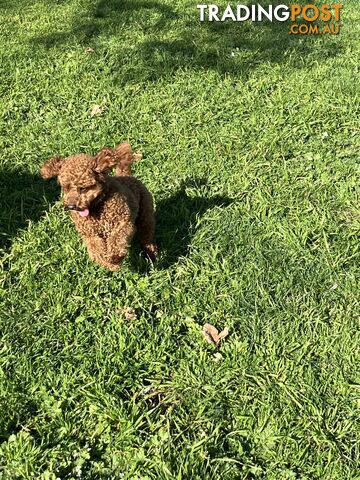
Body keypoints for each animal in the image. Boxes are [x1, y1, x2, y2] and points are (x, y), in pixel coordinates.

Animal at [40, 142, 157, 270]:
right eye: (65, 187)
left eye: (83, 188)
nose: (71, 206)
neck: (96, 208)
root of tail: (126, 174)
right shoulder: (91, 235)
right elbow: (96, 252)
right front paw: (110, 264)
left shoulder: (124, 224)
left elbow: (117, 239)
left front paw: (115, 257)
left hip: (145, 215)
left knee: (147, 236)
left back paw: (152, 254)